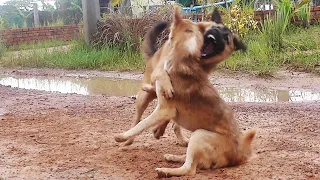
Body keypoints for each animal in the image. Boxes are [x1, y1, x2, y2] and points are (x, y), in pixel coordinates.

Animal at [115, 6, 255, 177]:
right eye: (215, 28)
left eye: (226, 37)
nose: (213, 35)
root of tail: (240, 154)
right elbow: (142, 121)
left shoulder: (164, 110)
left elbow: (142, 125)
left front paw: (122, 136)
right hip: (146, 101)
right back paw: (172, 156)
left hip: (199, 135)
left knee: (189, 169)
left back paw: (165, 170)